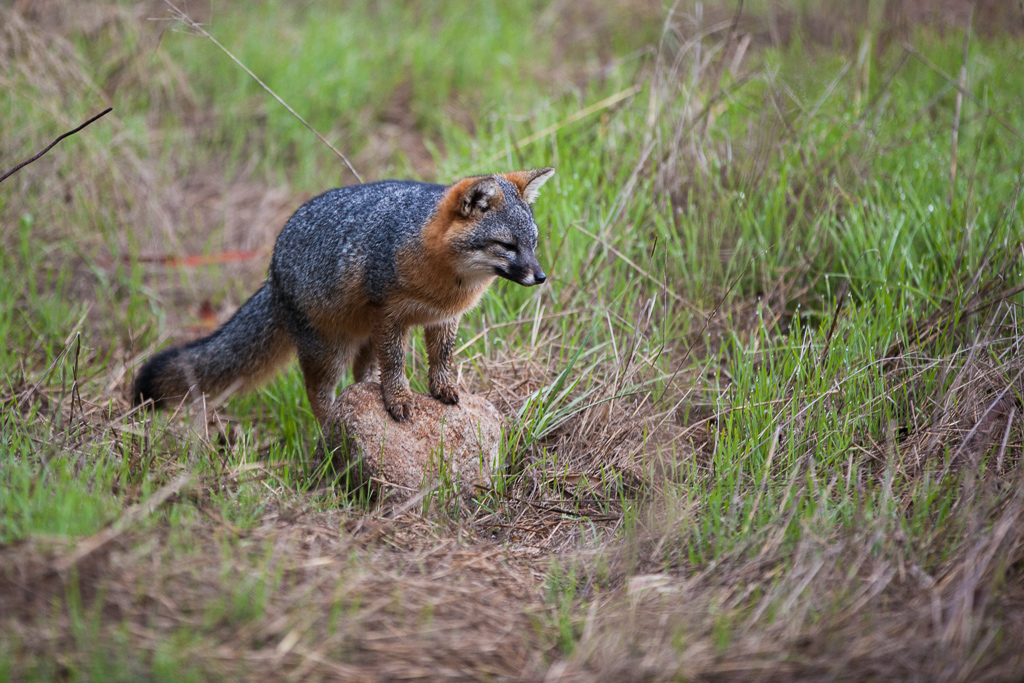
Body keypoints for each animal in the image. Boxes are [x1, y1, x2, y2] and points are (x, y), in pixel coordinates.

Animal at [132, 167, 555, 423]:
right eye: (507, 246)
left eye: (533, 244)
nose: (540, 276)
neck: (445, 284)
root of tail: (272, 272)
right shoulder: (392, 317)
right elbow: (396, 365)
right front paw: (399, 399)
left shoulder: (442, 319)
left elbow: (442, 359)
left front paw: (443, 389)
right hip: (329, 351)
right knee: (319, 394)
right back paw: (330, 429)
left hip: (363, 338)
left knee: (362, 375)